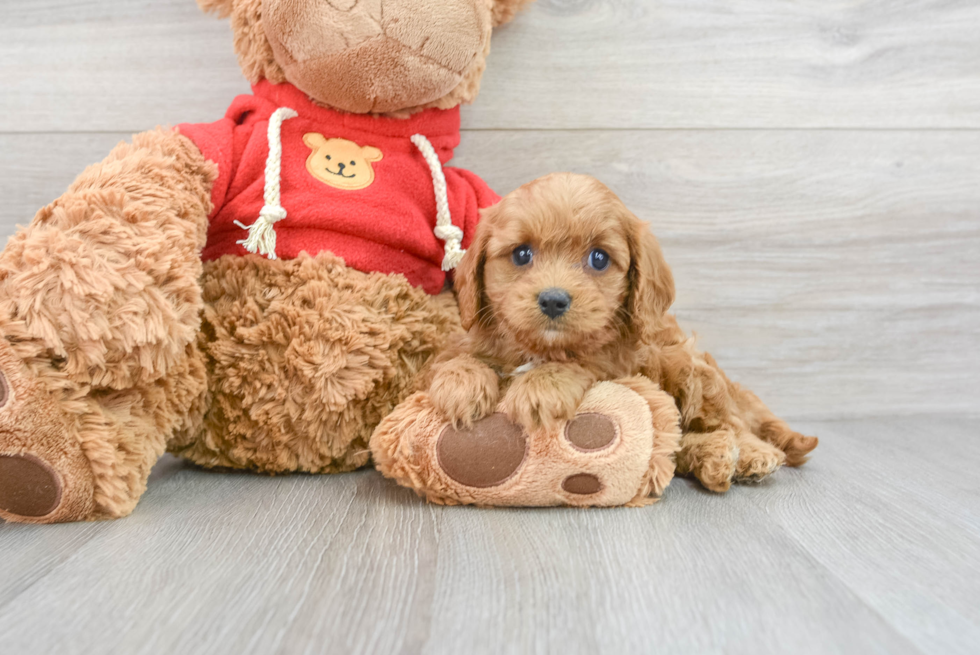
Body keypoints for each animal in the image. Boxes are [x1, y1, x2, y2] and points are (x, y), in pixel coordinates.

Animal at [424, 173, 816, 492]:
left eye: (598, 259)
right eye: (521, 254)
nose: (553, 300)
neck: (540, 349)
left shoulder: (623, 363)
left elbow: (585, 361)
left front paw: (541, 387)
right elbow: (457, 358)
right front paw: (461, 383)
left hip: (690, 368)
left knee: (729, 423)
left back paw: (751, 454)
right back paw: (714, 456)